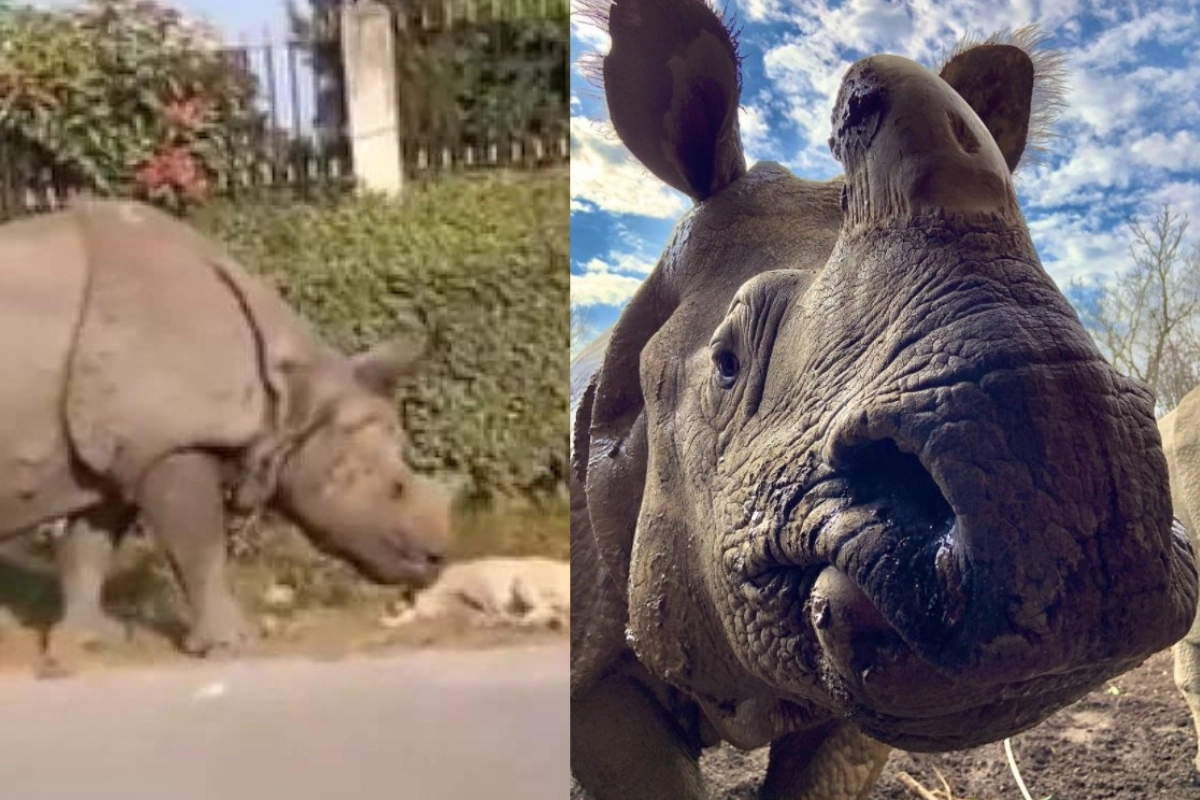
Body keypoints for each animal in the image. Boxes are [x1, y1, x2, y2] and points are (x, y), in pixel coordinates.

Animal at [0, 199, 451, 658]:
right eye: (395, 488)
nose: (438, 559)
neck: (294, 398)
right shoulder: (173, 444)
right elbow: (201, 549)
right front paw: (230, 645)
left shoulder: (125, 447)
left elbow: (90, 543)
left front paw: (90, 639)